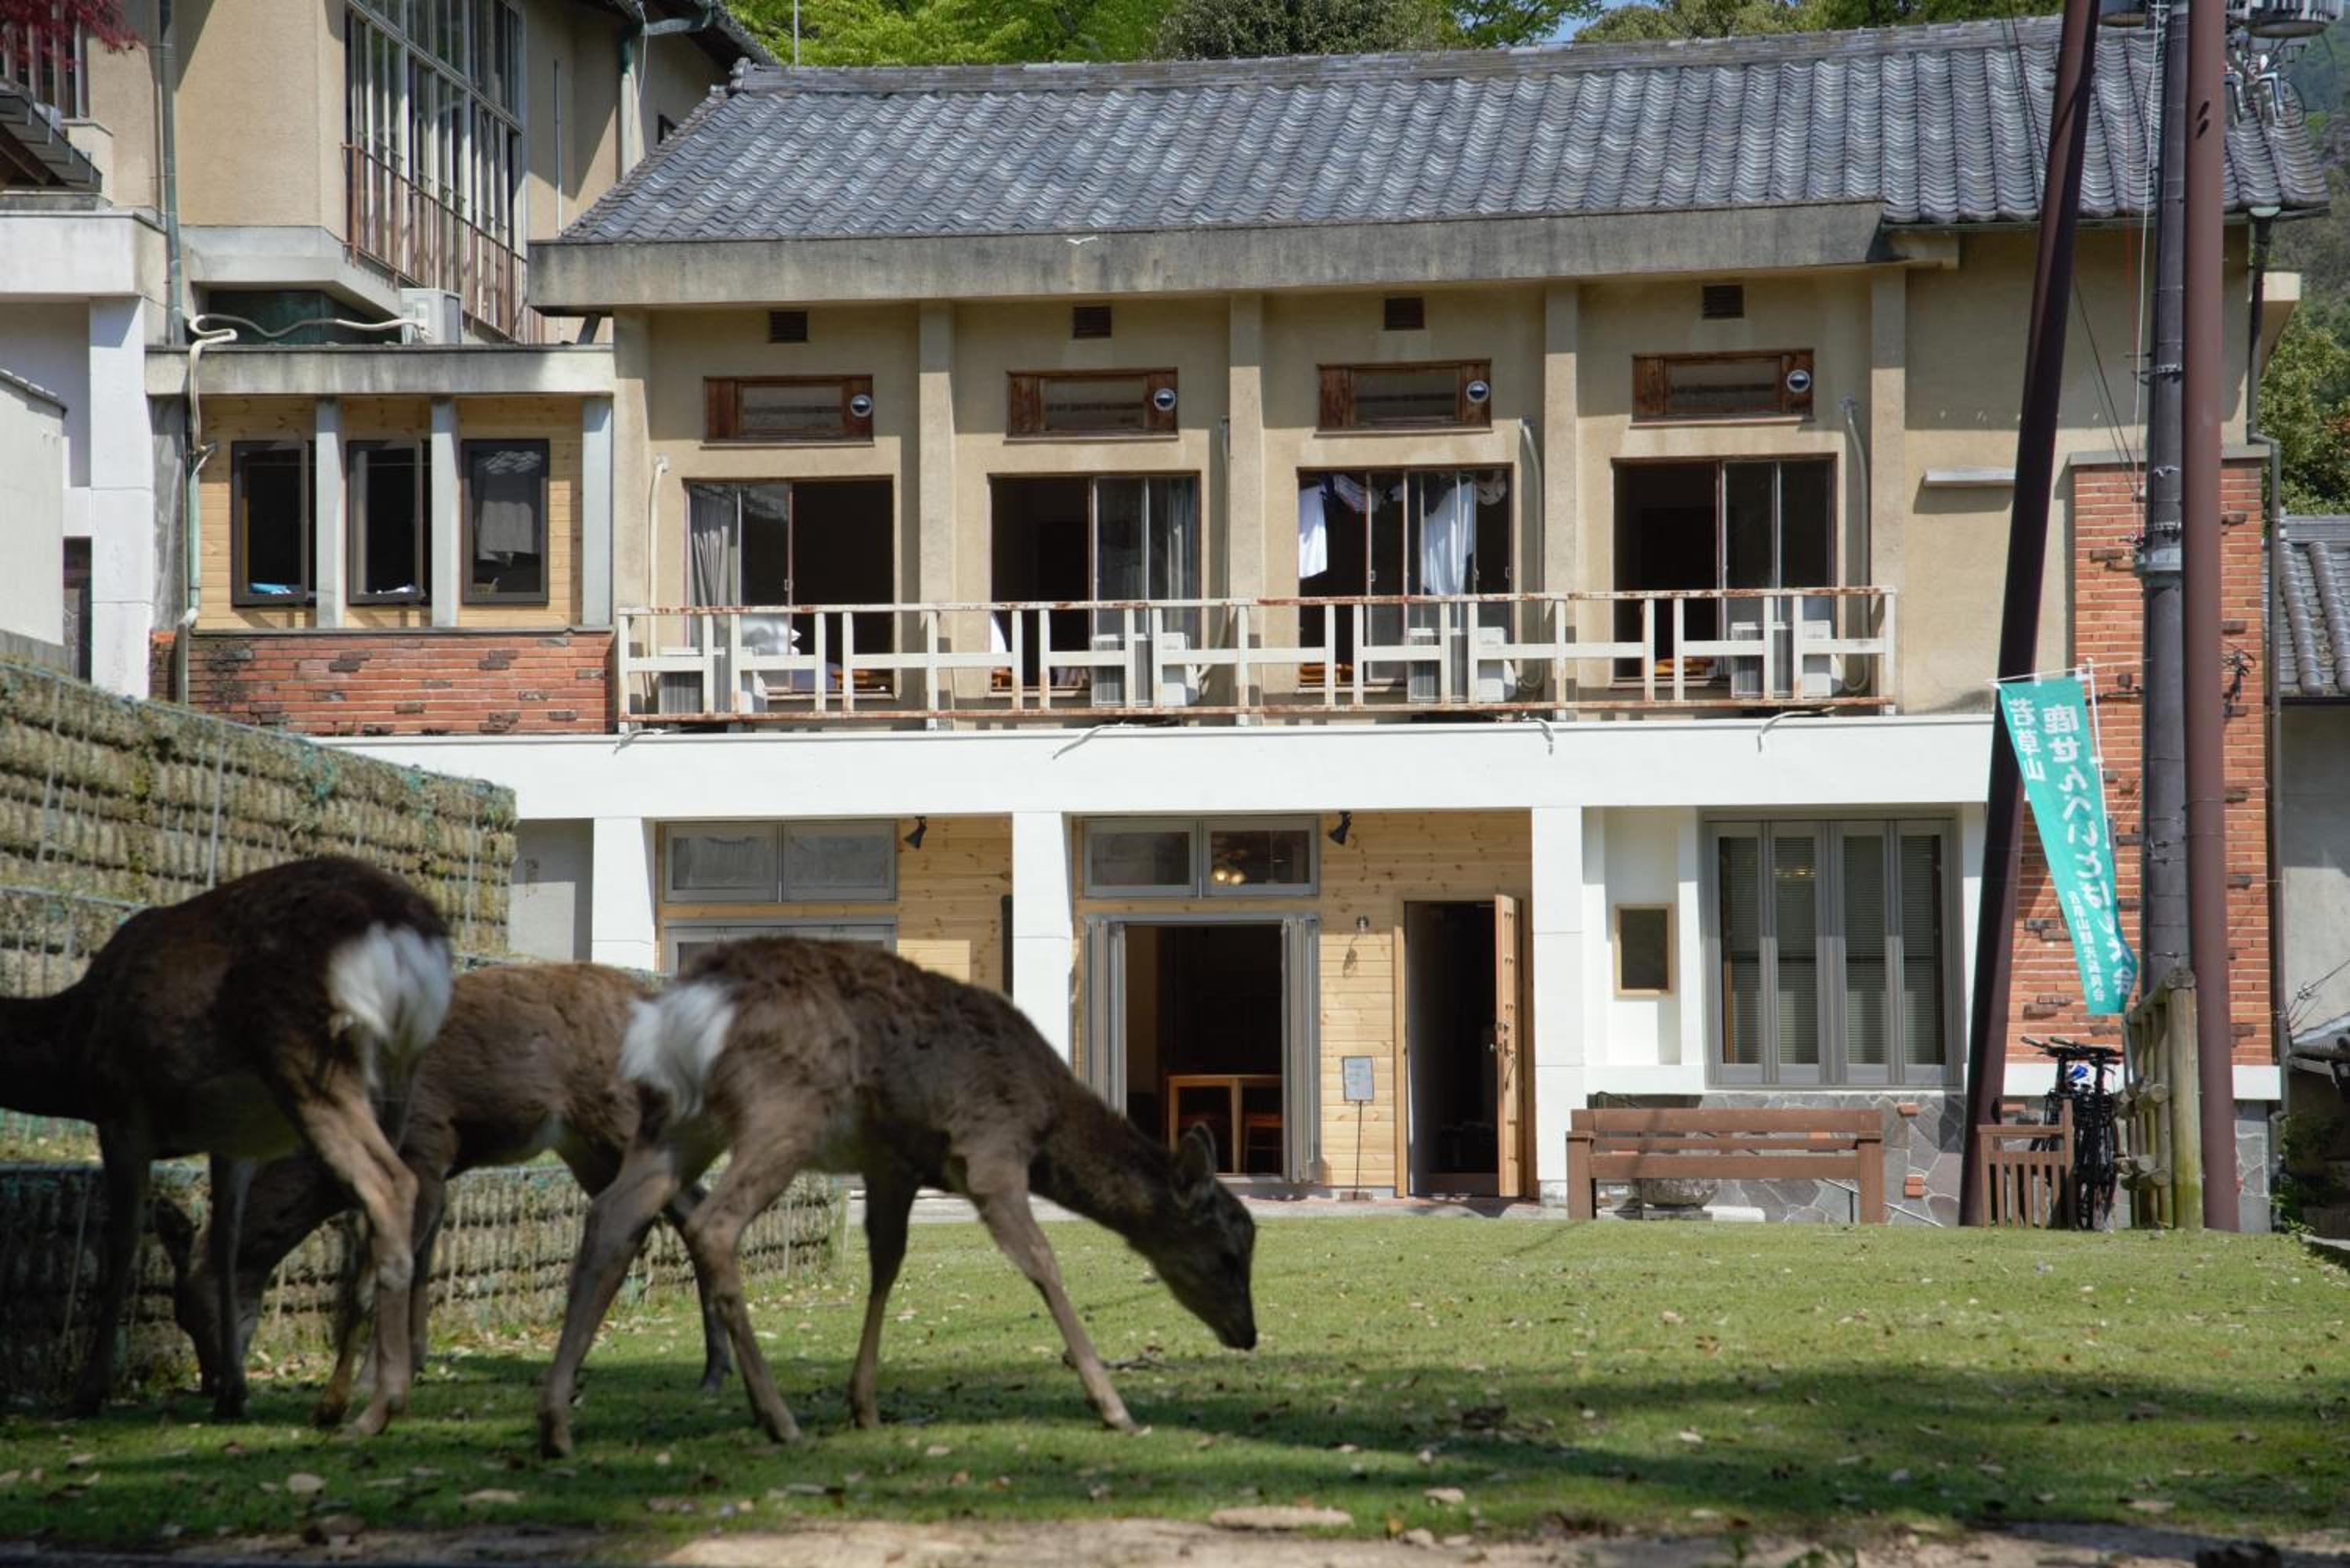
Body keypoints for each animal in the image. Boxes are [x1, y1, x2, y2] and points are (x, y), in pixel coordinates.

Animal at [0, 855, 451, 1430]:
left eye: (183, 1312)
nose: (210, 1377)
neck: (72, 1050)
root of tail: (408, 934)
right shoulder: (233, 1140)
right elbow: (225, 1241)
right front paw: (234, 1394)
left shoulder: (121, 1110)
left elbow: (122, 1243)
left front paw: (87, 1393)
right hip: (399, 1073)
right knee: (375, 1209)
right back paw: (337, 1399)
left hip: (305, 1050)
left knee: (386, 1184)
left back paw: (375, 1407)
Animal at [170, 962, 732, 1425]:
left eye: (192, 1309)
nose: (213, 1386)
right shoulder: (436, 1168)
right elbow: (419, 1262)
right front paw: (409, 1364)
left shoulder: (425, 1144)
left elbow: (384, 1273)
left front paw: (368, 1384)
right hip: (585, 1146)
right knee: (671, 1213)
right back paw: (707, 1370)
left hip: (619, 1122)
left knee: (676, 1210)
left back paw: (708, 1369)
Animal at [537, 936, 1259, 1457]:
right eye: (1229, 1251)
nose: (1248, 1333)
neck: (1046, 1121)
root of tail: (684, 1009)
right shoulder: (989, 1150)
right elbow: (1042, 1262)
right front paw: (1113, 1407)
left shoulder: (894, 1165)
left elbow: (887, 1263)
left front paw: (864, 1404)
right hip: (784, 1109)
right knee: (713, 1224)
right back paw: (777, 1418)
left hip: (677, 1120)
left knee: (613, 1214)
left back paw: (556, 1424)